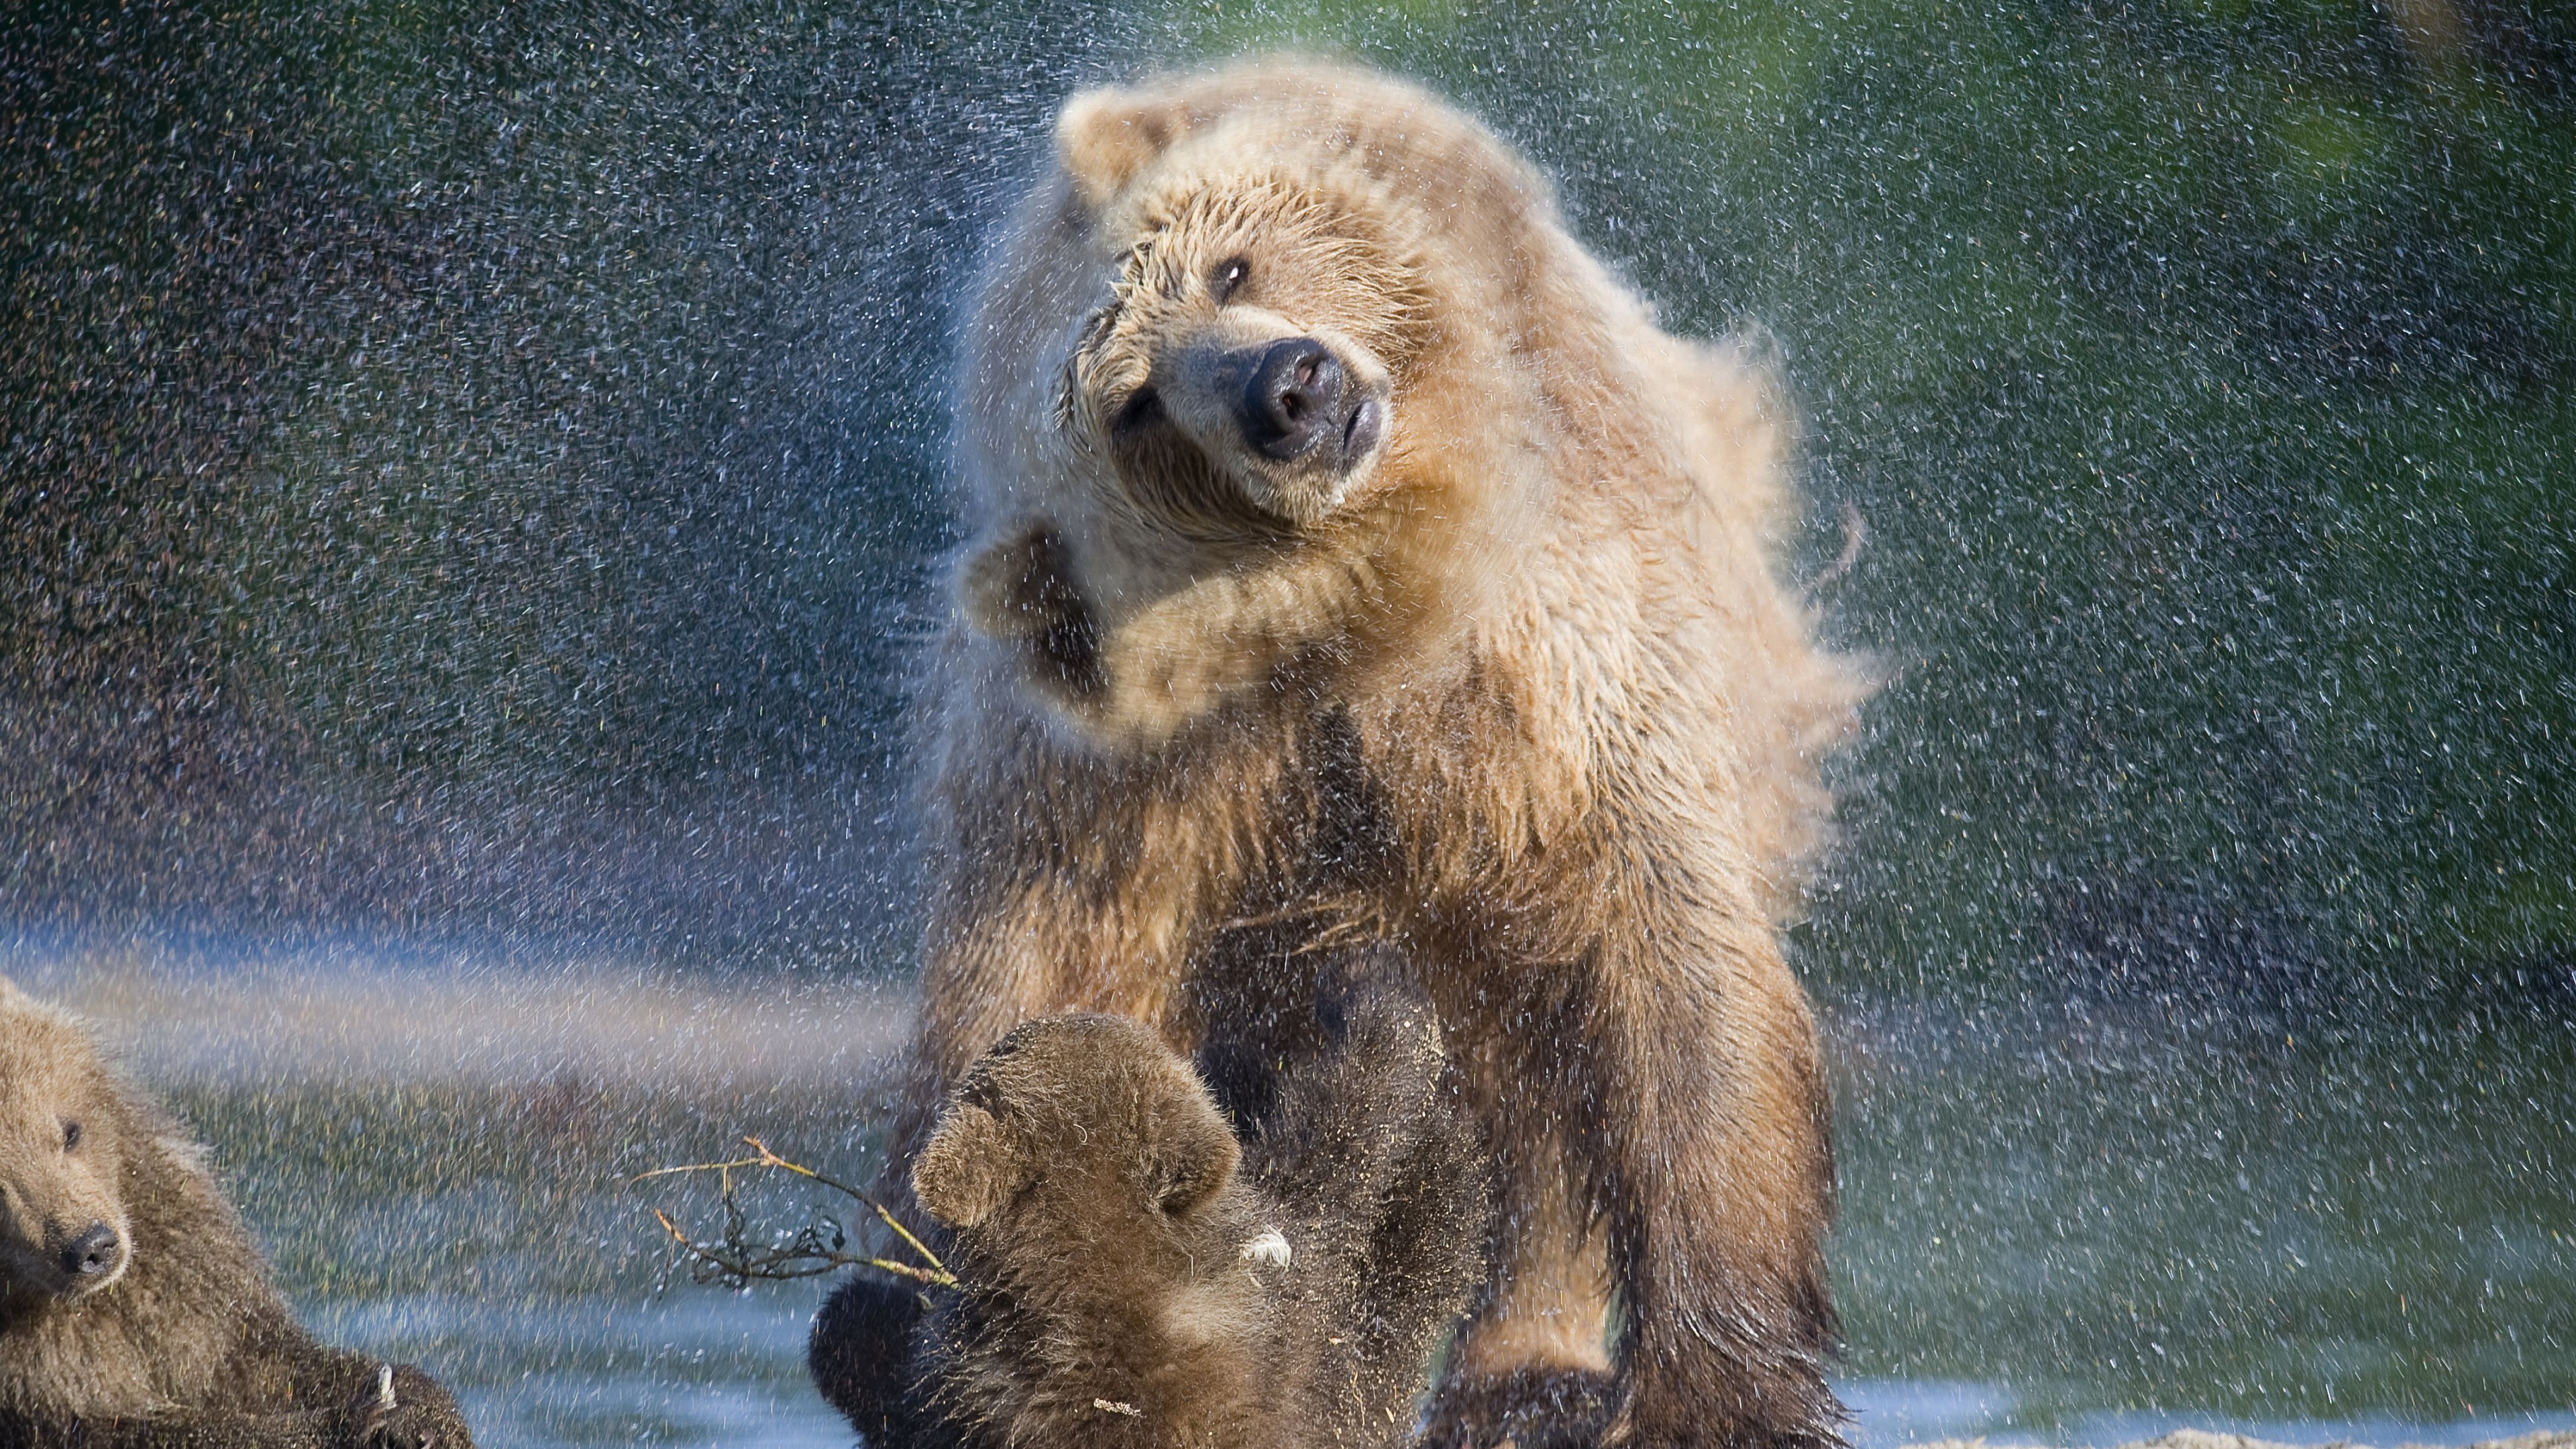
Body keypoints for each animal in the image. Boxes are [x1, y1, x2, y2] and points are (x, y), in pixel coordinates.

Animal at [0, 977, 474, 1449]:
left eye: (70, 1132)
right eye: (0, 1183)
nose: (92, 1247)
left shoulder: (172, 1265)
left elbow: (252, 1357)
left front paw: (411, 1409)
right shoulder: (34, 1378)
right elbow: (129, 1426)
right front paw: (353, 1422)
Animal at [902, 55, 1871, 1449]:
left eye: (1231, 268)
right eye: (1136, 406)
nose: (1291, 391)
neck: (1361, 618)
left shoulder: (1558, 670)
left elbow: (1671, 994)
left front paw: (1716, 1393)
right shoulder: (1108, 797)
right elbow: (1042, 1003)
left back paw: (1525, 1372)